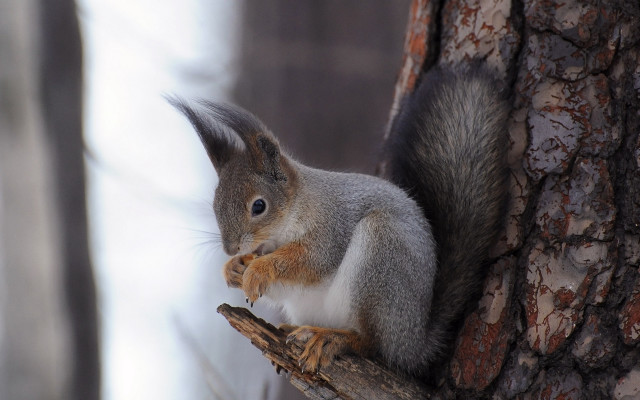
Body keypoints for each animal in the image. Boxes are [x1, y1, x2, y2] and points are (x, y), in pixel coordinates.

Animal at [170, 64, 509, 376]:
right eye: (215, 204)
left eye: (259, 206)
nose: (230, 249)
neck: (288, 220)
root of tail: (414, 342)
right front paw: (234, 268)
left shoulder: (331, 226)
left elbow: (311, 260)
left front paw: (258, 269)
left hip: (381, 259)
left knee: (372, 344)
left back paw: (332, 339)